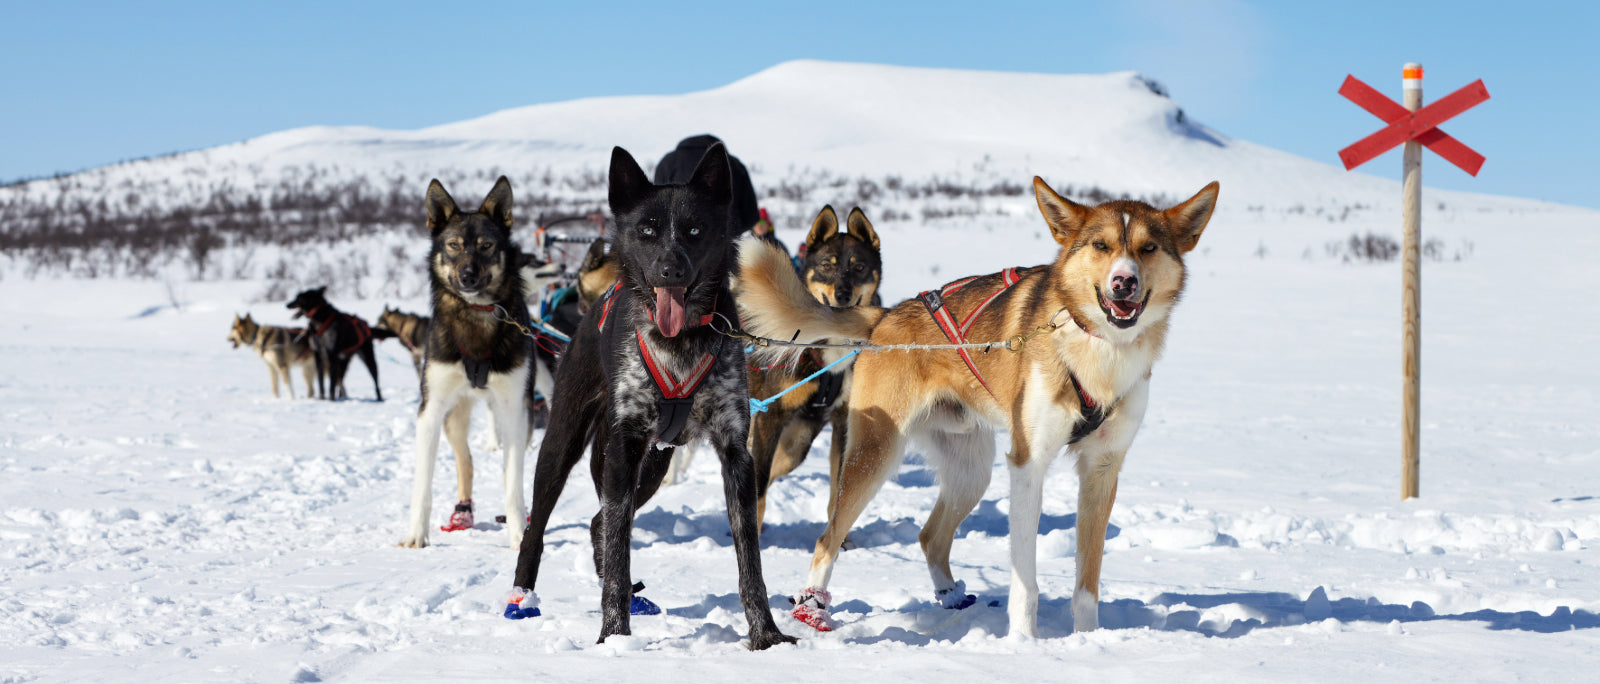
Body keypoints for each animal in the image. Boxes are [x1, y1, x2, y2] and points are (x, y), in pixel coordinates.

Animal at [739, 176, 1222, 636]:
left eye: (1148, 247)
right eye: (1101, 245)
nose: (1124, 282)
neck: (1097, 350)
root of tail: (887, 315)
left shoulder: (1102, 470)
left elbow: (1088, 581)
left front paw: (1087, 641)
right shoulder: (1028, 464)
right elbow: (1025, 580)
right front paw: (1024, 642)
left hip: (971, 470)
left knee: (930, 536)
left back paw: (952, 598)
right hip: (875, 452)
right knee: (828, 538)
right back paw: (813, 610)